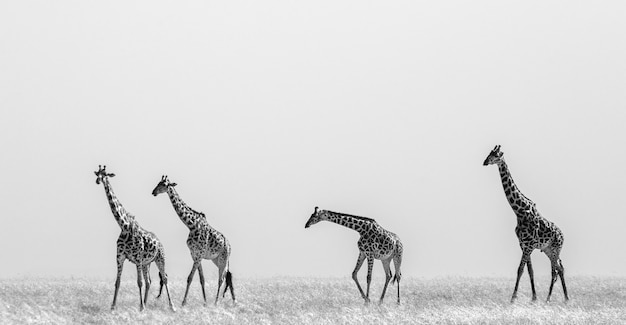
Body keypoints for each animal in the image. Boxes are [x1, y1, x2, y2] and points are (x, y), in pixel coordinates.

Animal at [92, 166, 176, 310]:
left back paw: (172, 307)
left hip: (160, 258)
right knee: (149, 281)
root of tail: (160, 242)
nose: (98, 180)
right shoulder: (120, 257)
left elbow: (139, 282)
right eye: (97, 174)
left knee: (164, 278)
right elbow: (118, 282)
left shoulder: (137, 258)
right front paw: (113, 306)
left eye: (106, 174)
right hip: (147, 263)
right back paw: (147, 304)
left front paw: (141, 307)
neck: (124, 226)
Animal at [151, 175, 234, 304]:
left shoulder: (199, 255)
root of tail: (229, 246)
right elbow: (201, 279)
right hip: (216, 260)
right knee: (225, 276)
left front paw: (183, 303)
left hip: (224, 259)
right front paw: (204, 302)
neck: (191, 225)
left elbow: (190, 278)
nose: (153, 192)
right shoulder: (194, 254)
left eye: (164, 184)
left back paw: (216, 302)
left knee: (222, 278)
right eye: (158, 183)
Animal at [480, 145, 568, 302]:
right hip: (547, 249)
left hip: (556, 248)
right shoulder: (523, 244)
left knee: (558, 269)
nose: (485, 162)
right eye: (489, 153)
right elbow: (529, 270)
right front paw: (533, 298)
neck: (519, 210)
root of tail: (563, 235)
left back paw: (560, 298)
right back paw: (554, 298)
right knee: (558, 268)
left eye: (496, 155)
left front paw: (513, 298)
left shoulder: (528, 245)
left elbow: (520, 269)